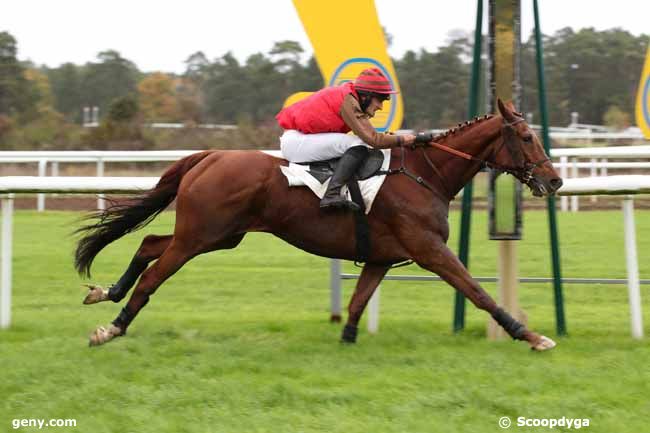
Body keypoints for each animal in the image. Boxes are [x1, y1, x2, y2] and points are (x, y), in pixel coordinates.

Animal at [76, 99, 560, 350]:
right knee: (154, 275)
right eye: (526, 137)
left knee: (149, 243)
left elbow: (358, 302)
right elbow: (477, 291)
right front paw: (530, 334)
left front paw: (346, 340)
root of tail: (209, 155)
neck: (425, 174)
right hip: (200, 235)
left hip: (218, 236)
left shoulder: (382, 258)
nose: (554, 180)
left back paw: (107, 293)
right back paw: (112, 327)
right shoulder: (430, 251)